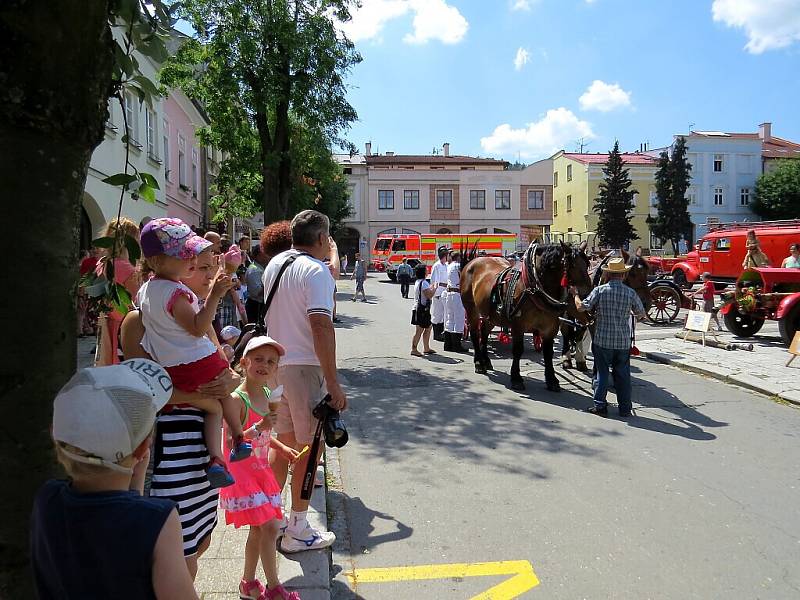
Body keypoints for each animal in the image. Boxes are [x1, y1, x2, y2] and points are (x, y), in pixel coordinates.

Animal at [456, 241, 592, 392]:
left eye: (587, 264)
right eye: (572, 264)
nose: (587, 294)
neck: (535, 288)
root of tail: (472, 262)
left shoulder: (550, 328)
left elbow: (548, 353)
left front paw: (551, 380)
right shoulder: (518, 325)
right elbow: (517, 350)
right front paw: (516, 378)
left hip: (490, 314)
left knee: (484, 332)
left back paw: (486, 360)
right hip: (471, 309)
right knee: (475, 333)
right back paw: (479, 362)